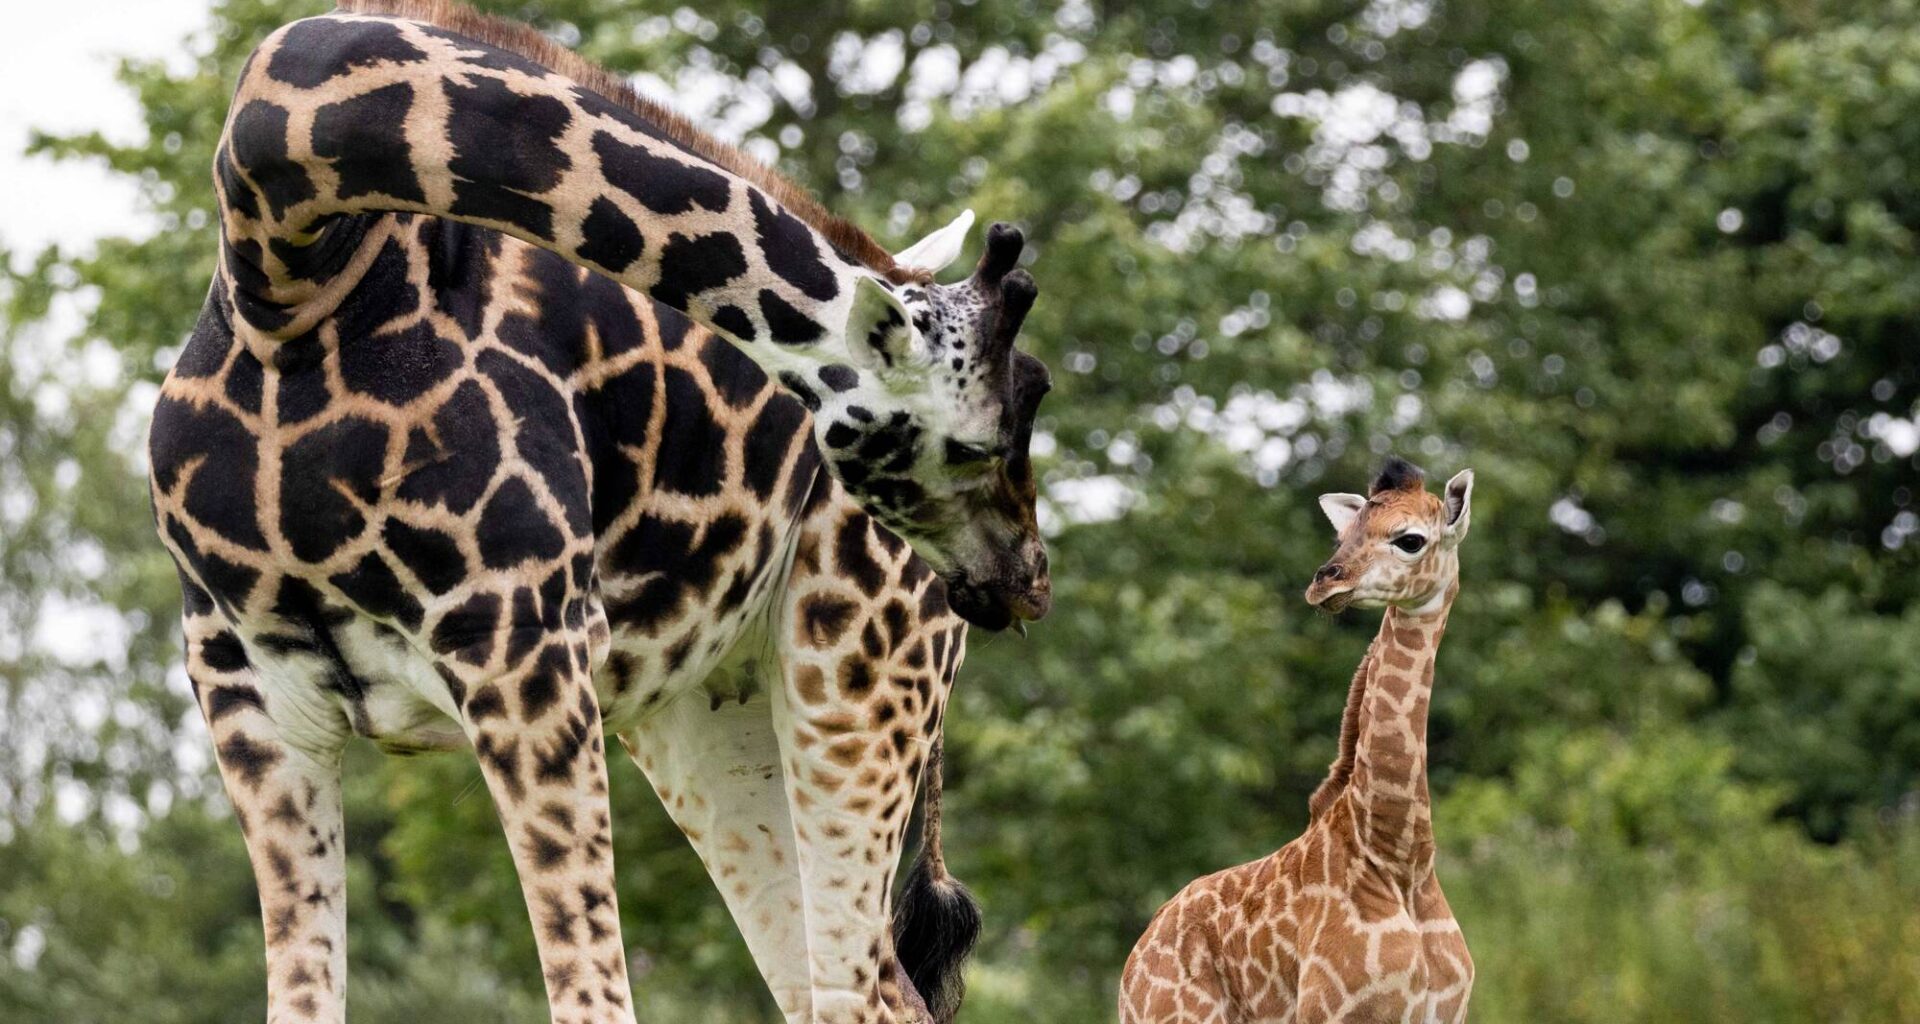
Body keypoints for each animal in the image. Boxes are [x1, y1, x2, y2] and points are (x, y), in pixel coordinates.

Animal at [148, 2, 1050, 1022]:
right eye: (988, 437)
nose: (1026, 577)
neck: (288, 271)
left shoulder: (522, 644)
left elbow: (594, 994)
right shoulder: (248, 696)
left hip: (858, 669)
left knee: (861, 991)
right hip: (712, 721)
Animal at [1117, 458, 1476, 1024]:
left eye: (1410, 539)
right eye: (1343, 536)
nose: (1325, 582)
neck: (1401, 858)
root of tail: (1132, 964)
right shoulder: (1330, 1011)